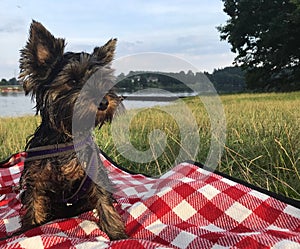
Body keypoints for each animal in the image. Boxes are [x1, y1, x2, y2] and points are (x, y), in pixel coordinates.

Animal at [15, 20, 127, 239]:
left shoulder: (94, 173)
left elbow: (105, 203)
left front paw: (118, 235)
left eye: (102, 81)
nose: (103, 102)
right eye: (72, 81)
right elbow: (34, 209)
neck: (65, 137)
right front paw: (28, 231)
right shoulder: (36, 182)